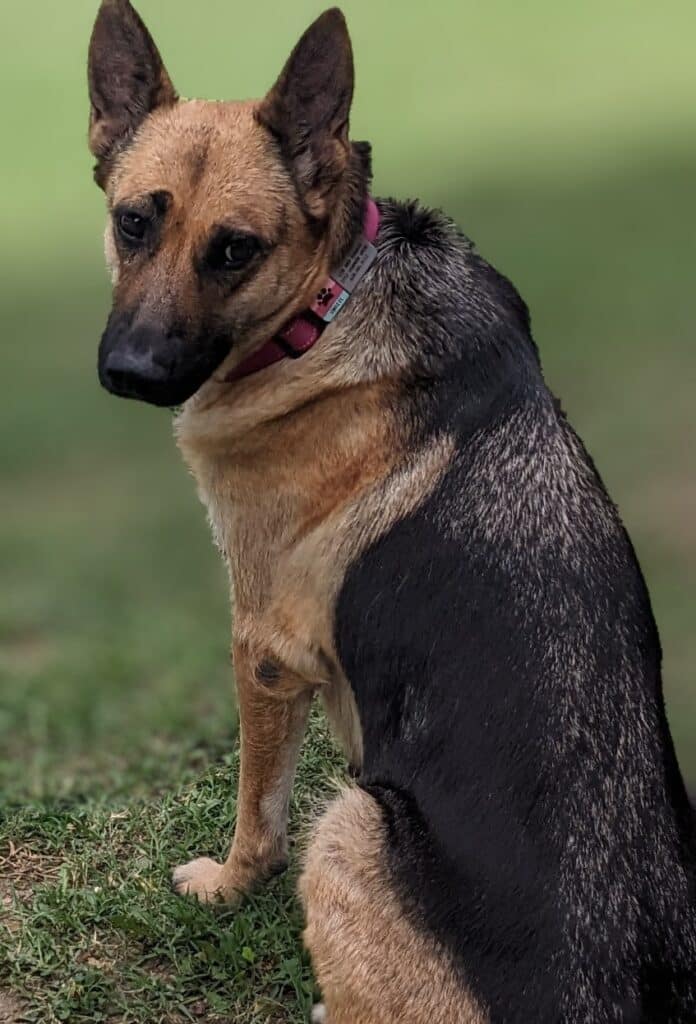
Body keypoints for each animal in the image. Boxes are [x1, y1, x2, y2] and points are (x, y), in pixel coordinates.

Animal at [87, 4, 696, 1019]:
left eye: (235, 249)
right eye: (133, 223)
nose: (129, 374)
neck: (328, 301)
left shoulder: (262, 649)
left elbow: (258, 811)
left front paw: (226, 884)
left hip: (350, 820)